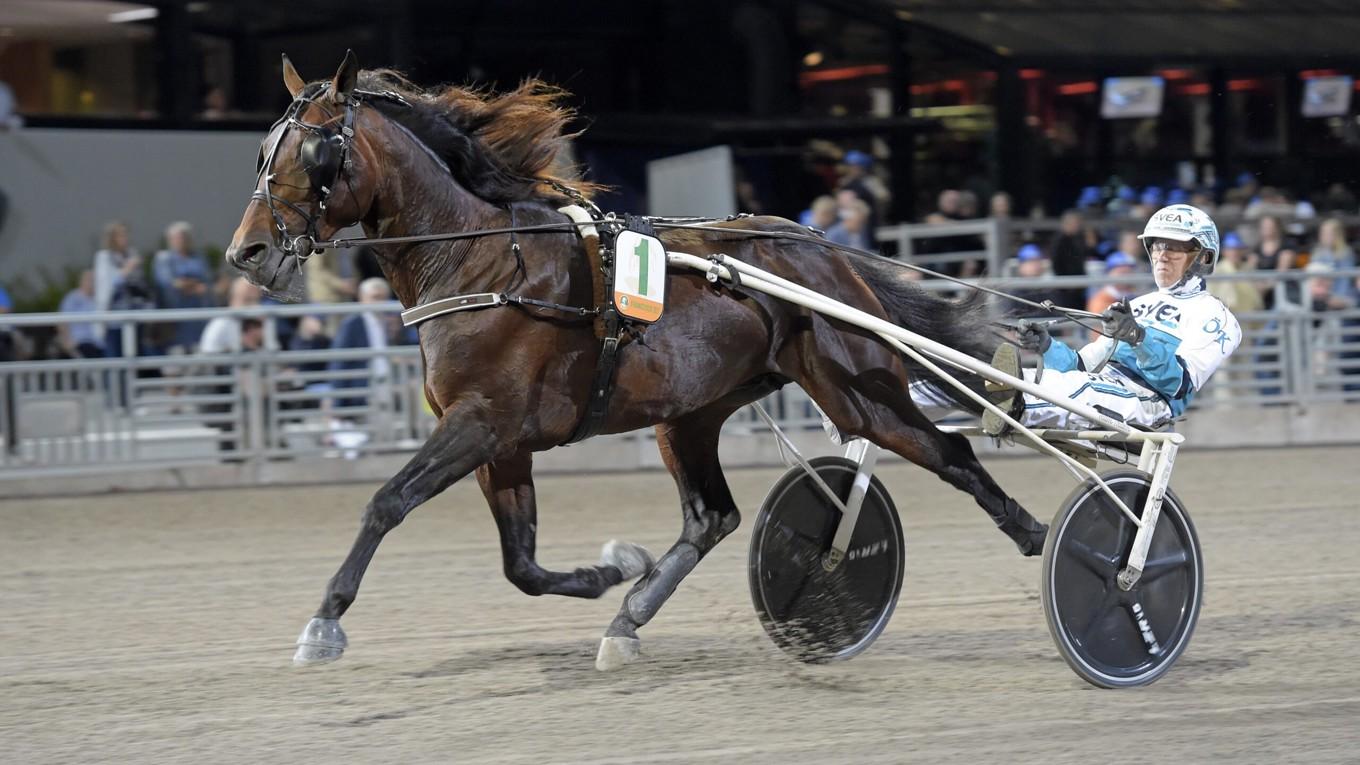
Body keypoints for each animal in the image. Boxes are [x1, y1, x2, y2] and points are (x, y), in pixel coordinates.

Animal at [228, 50, 1044, 666]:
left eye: (313, 150)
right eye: (261, 152)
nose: (248, 253)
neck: (479, 261)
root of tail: (826, 252)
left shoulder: (481, 422)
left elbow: (387, 501)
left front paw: (324, 621)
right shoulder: (502, 442)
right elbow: (521, 563)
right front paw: (611, 569)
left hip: (859, 391)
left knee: (949, 453)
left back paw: (1043, 537)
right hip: (689, 414)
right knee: (712, 517)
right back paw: (629, 616)